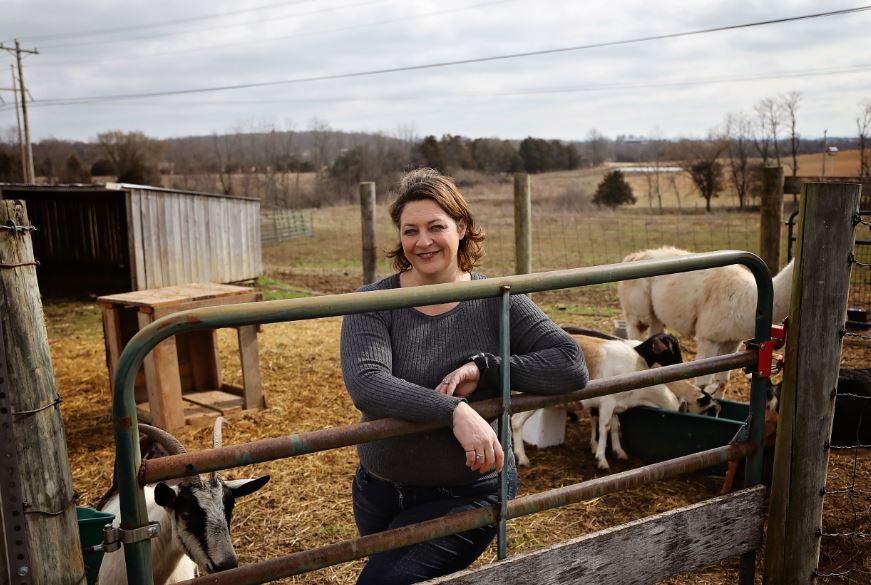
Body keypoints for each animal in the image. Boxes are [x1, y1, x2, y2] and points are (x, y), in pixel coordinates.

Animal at [616, 246, 792, 396]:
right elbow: (702, 384)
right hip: (637, 307)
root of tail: (634, 256)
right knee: (637, 329)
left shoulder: (732, 340)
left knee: (656, 330)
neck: (747, 297)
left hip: (656, 313)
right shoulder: (709, 336)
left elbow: (722, 381)